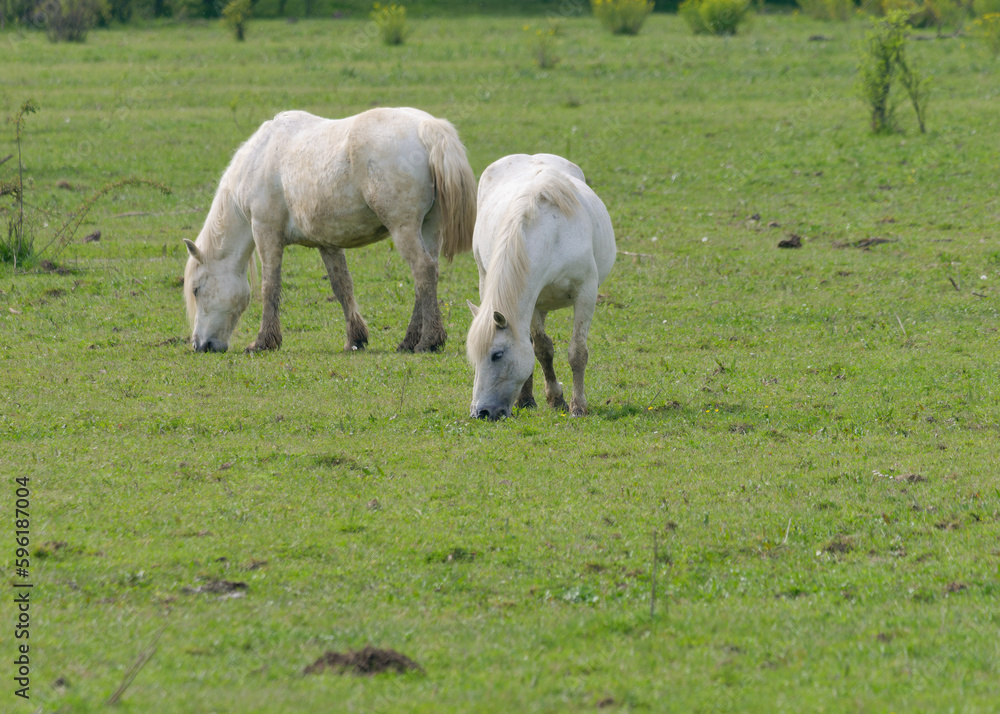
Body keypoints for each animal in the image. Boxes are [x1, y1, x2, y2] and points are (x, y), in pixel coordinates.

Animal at [183, 107, 477, 354]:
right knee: (427, 276)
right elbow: (341, 285)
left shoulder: (266, 233)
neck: (260, 157)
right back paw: (409, 341)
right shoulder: (328, 242)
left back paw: (429, 341)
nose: (200, 345)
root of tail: (428, 127)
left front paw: (264, 341)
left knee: (423, 269)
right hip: (428, 228)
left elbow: (270, 287)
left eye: (196, 289)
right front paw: (355, 338)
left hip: (403, 228)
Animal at [466, 154, 616, 420]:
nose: (480, 412)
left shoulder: (586, 293)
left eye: (497, 355)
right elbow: (542, 349)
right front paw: (547, 399)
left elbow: (578, 352)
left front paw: (578, 406)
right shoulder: (532, 301)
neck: (552, 235)